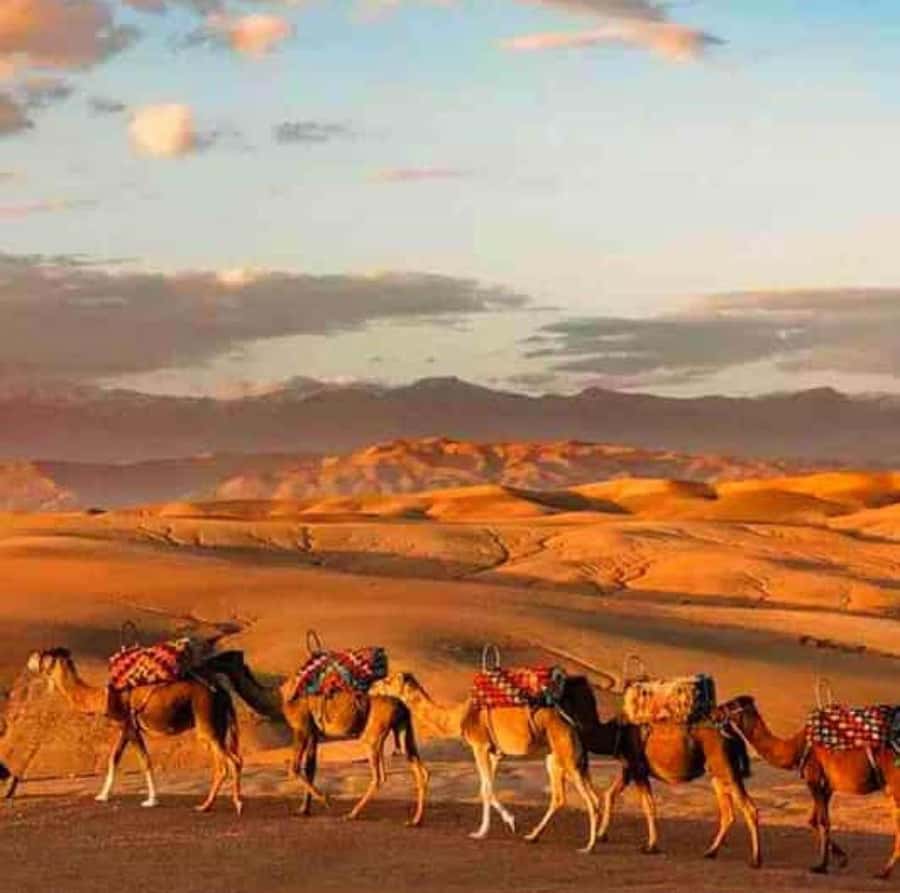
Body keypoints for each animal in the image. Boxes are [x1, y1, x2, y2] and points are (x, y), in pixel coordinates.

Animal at [26, 647, 243, 814]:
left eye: (45, 654)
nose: (31, 658)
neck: (103, 697)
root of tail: (223, 692)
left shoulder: (130, 726)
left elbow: (144, 761)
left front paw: (151, 800)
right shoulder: (125, 728)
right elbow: (114, 758)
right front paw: (102, 796)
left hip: (206, 720)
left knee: (230, 761)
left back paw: (235, 804)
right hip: (216, 726)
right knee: (223, 764)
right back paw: (206, 806)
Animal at [204, 651, 428, 826]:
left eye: (223, 657)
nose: (206, 662)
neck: (280, 699)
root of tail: (402, 705)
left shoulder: (300, 727)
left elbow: (294, 768)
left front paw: (325, 800)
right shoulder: (313, 733)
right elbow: (310, 768)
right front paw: (304, 809)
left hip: (373, 734)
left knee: (380, 775)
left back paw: (352, 814)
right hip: (403, 728)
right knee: (420, 769)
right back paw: (415, 820)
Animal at [377, 671, 600, 852]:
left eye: (388, 681)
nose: (374, 686)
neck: (460, 715)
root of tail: (573, 723)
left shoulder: (480, 745)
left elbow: (485, 789)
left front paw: (488, 829)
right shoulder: (494, 753)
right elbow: (486, 789)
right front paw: (499, 826)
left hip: (567, 755)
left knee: (588, 799)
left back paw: (589, 846)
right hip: (556, 758)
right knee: (567, 797)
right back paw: (534, 836)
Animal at [560, 676, 761, 866]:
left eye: (560, 685)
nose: (549, 700)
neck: (615, 732)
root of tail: (732, 733)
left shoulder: (638, 768)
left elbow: (648, 805)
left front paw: (650, 846)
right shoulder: (629, 768)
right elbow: (610, 795)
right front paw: (602, 835)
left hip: (727, 768)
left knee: (749, 808)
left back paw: (755, 859)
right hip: (717, 773)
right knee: (728, 813)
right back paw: (710, 851)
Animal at [720, 694, 900, 878]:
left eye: (731, 705)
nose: (716, 710)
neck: (795, 748)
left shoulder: (813, 778)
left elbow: (822, 821)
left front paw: (821, 866)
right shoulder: (827, 786)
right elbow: (813, 820)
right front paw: (841, 858)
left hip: (895, 781)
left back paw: (884, 871)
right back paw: (884, 871)